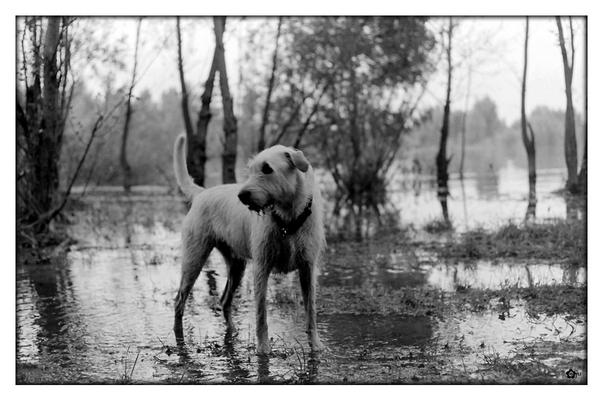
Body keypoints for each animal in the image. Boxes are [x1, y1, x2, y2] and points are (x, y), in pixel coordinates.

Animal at [171, 136, 326, 354]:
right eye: (250, 170)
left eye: (267, 169)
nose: (241, 196)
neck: (287, 219)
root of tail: (202, 193)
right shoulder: (261, 268)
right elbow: (261, 314)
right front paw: (263, 349)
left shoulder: (307, 268)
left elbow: (310, 311)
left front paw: (316, 345)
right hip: (193, 261)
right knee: (179, 301)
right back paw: (179, 337)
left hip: (237, 267)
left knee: (224, 301)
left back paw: (232, 332)